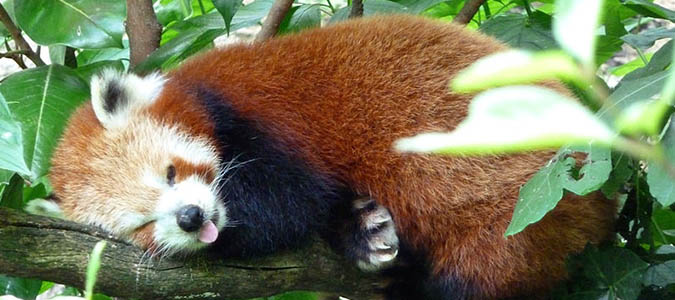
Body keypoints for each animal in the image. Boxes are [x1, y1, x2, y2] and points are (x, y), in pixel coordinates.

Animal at [47, 14, 616, 300]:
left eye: (171, 172)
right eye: (141, 223)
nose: (191, 218)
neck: (202, 95)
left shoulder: (260, 119)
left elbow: (288, 206)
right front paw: (361, 227)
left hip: (523, 206)